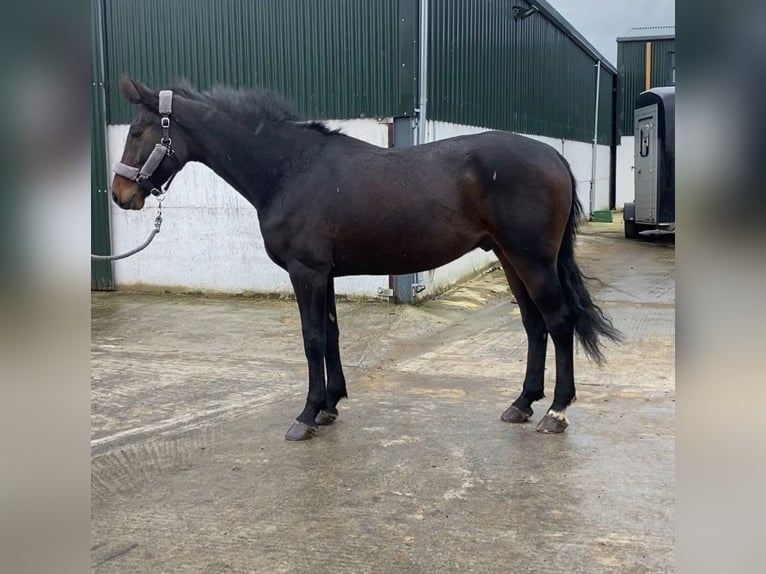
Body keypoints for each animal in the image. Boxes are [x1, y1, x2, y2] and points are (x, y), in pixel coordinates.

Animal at [111, 76, 621, 441]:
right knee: (534, 326)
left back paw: (556, 411)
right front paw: (331, 405)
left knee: (558, 323)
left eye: (137, 131)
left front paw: (306, 414)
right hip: (511, 259)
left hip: (532, 261)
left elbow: (313, 338)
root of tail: (553, 157)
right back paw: (522, 403)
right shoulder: (326, 274)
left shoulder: (307, 273)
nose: (120, 194)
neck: (289, 169)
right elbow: (332, 335)